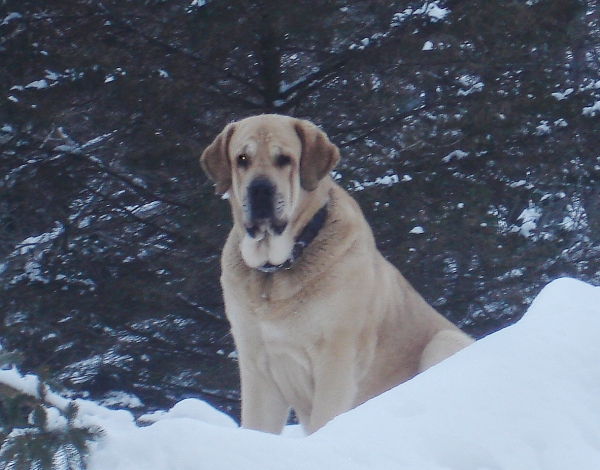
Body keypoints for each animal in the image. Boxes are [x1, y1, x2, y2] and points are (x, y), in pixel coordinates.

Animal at [202, 115, 474, 436]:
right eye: (242, 159)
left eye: (285, 159)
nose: (260, 190)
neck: (275, 272)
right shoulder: (257, 367)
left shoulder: (336, 358)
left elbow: (326, 417)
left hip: (444, 341)